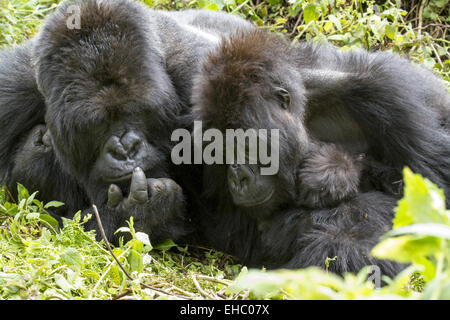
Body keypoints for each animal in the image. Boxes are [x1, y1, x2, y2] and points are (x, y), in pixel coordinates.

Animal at [191, 28, 450, 276]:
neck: (303, 111)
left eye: (246, 144)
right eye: (222, 151)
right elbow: (234, 227)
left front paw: (331, 173)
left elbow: (432, 193)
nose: (237, 177)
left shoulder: (386, 91)